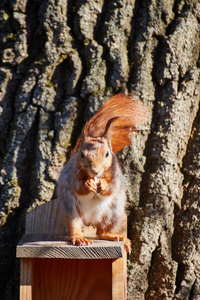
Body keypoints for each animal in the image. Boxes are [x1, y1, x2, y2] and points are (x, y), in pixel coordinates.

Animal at [57, 92, 148, 252]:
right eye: (82, 154)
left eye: (107, 154)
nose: (95, 170)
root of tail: (89, 220)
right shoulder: (73, 174)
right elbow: (78, 187)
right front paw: (88, 184)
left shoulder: (116, 175)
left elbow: (111, 187)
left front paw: (103, 185)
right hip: (70, 208)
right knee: (75, 225)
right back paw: (79, 238)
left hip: (114, 211)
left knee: (101, 232)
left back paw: (117, 237)